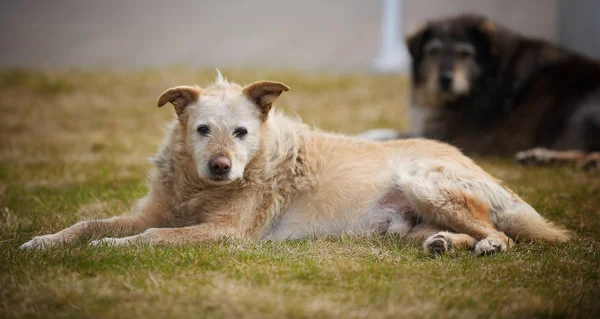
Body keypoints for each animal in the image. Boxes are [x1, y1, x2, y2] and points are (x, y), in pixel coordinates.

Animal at [360, 14, 600, 170]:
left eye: (465, 53)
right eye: (433, 51)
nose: (445, 79)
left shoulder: (449, 134)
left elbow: (389, 136)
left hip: (581, 110)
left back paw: (544, 156)